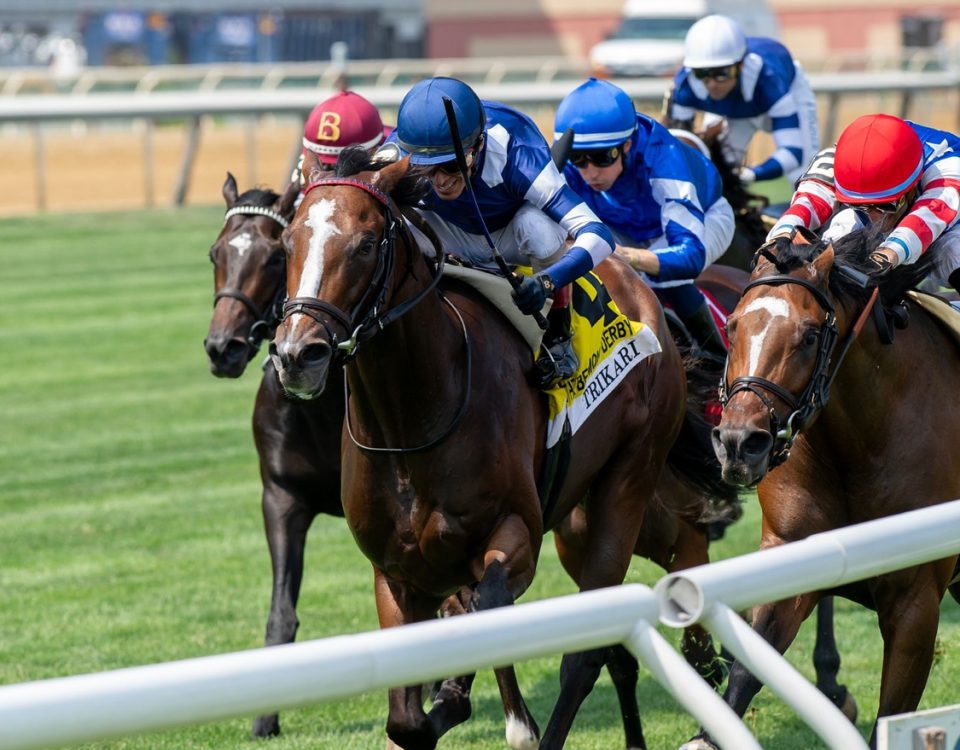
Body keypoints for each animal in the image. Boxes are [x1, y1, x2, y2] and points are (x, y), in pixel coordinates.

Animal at [270, 151, 736, 750]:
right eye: (288, 244)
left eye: (367, 244)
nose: (296, 354)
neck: (411, 421)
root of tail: (638, 284)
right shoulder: (395, 571)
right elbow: (407, 718)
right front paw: (445, 703)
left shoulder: (516, 533)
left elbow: (489, 609)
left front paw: (506, 718)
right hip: (580, 518)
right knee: (667, 564)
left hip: (629, 480)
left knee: (588, 653)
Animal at [696, 229, 960, 750]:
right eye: (731, 326)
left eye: (811, 335)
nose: (739, 443)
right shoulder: (791, 552)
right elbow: (744, 676)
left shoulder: (916, 598)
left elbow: (892, 714)